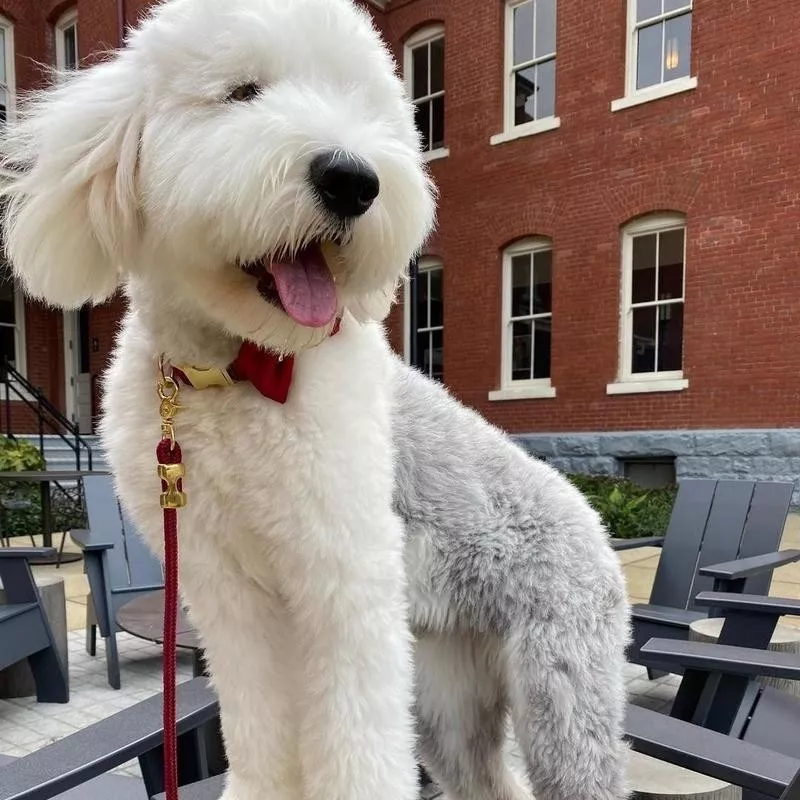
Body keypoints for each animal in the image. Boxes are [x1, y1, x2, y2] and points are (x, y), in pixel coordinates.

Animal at [0, 1, 632, 800]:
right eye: (242, 92)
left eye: (364, 107)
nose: (352, 180)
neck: (242, 369)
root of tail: (597, 527)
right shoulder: (225, 589)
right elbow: (259, 720)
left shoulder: (344, 574)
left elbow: (355, 738)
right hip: (447, 695)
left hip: (560, 691)